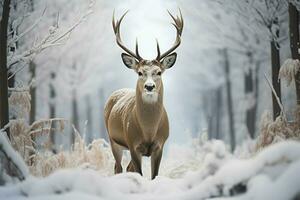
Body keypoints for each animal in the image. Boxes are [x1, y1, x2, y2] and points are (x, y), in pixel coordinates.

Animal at [104, 9, 183, 180]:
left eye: (159, 72)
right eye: (140, 72)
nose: (149, 86)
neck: (148, 132)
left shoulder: (160, 145)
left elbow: (154, 176)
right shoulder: (133, 143)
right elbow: (139, 174)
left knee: (127, 167)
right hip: (113, 140)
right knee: (118, 167)